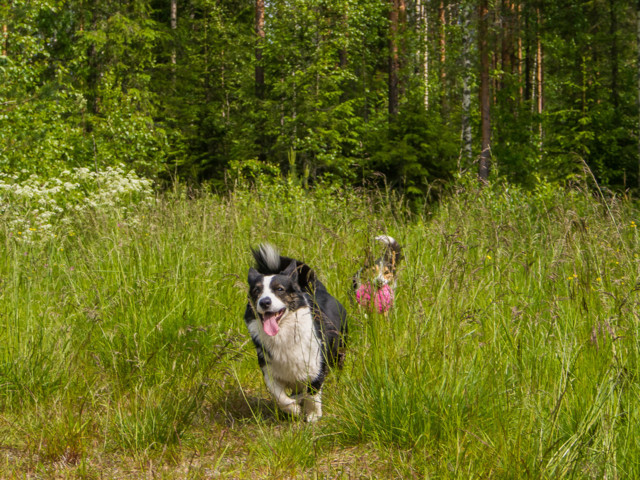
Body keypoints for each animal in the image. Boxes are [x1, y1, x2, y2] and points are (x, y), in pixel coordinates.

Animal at [245, 246, 348, 422]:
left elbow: (312, 394)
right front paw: (294, 409)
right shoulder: (269, 371)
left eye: (280, 289)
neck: (283, 333)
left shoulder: (316, 367)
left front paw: (313, 416)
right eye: (256, 291)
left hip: (339, 352)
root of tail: (320, 290)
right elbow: (280, 397)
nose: (264, 302)